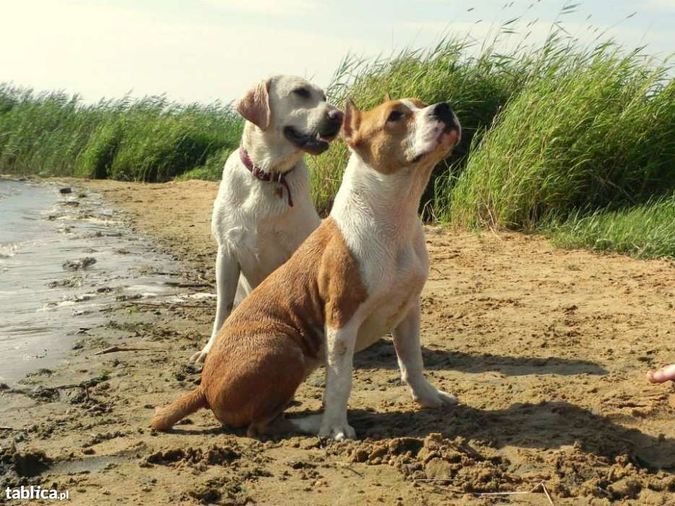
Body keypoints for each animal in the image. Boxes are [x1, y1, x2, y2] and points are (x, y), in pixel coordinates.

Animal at [191, 75, 344, 362]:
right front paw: (209, 349)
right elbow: (222, 309)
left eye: (325, 97)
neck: (269, 174)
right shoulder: (226, 252)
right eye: (300, 92)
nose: (339, 116)